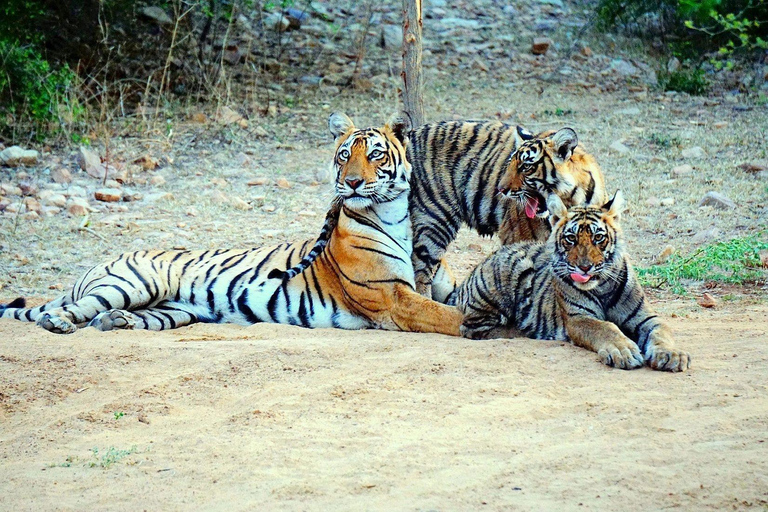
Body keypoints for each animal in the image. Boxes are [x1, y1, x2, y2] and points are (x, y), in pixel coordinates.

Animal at [0, 112, 462, 336]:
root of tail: (94, 267)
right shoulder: (391, 297)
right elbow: (443, 315)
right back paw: (60, 323)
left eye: (377, 155)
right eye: (345, 154)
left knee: (114, 316)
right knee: (68, 310)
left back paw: (116, 323)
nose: (350, 183)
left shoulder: (434, 285)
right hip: (131, 282)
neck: (397, 215)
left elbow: (455, 299)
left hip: (171, 310)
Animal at [408, 120, 608, 298]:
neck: (570, 200)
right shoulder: (519, 237)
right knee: (420, 271)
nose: (501, 189)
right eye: (510, 164)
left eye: (526, 166)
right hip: (434, 220)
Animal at [444, 190, 688, 370]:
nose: (584, 267)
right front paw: (624, 351)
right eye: (571, 239)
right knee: (475, 329)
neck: (602, 286)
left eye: (598, 237)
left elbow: (662, 331)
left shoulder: (645, 317)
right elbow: (605, 327)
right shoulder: (578, 318)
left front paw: (672, 354)